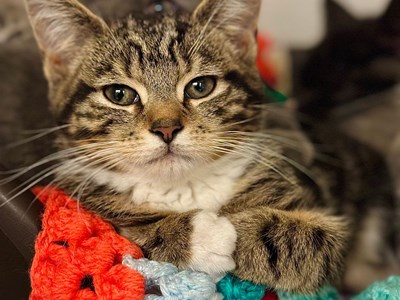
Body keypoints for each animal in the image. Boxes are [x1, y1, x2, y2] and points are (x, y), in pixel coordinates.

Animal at [23, 0, 398, 292]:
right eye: (119, 94)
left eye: (200, 87)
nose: (167, 128)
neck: (184, 187)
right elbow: (126, 235)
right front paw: (206, 234)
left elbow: (316, 243)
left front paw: (233, 230)